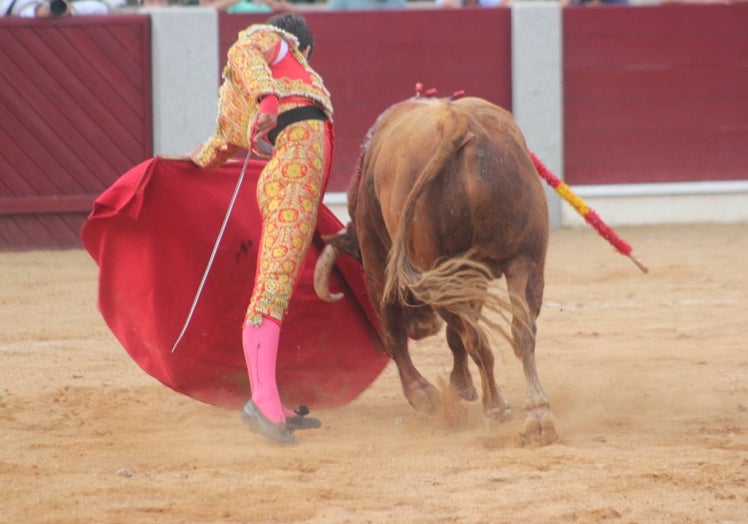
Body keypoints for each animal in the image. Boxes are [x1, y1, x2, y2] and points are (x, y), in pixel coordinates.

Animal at [314, 93, 556, 442]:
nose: (422, 327)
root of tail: (458, 123)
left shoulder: (375, 258)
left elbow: (394, 333)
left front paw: (426, 394)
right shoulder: (474, 274)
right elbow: (463, 333)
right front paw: (462, 385)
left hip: (431, 270)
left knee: (470, 337)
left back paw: (494, 407)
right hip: (526, 260)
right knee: (520, 330)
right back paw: (537, 413)